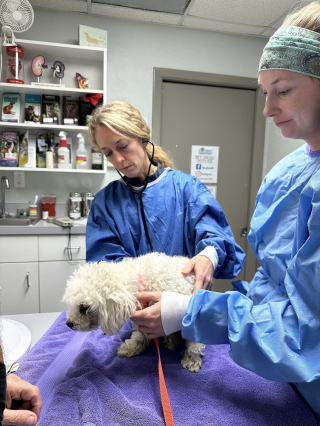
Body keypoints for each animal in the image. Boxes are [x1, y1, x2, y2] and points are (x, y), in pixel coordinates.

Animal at [63, 251, 205, 372]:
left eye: (84, 307)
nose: (68, 324)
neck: (141, 282)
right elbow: (139, 335)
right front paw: (132, 347)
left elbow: (194, 341)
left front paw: (192, 359)